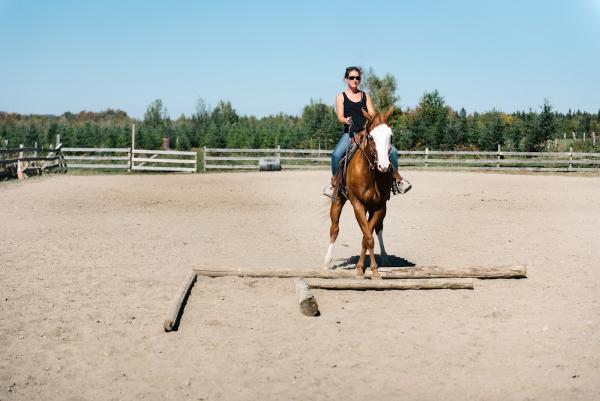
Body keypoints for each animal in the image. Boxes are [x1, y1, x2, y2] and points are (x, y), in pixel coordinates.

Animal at [324, 104, 394, 276]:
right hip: (338, 200)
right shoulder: (358, 205)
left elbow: (367, 236)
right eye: (371, 137)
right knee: (334, 229)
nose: (384, 166)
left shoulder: (379, 207)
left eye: (390, 137)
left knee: (379, 229)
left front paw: (366, 268)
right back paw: (327, 261)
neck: (371, 174)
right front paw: (367, 270)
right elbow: (367, 237)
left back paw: (385, 258)